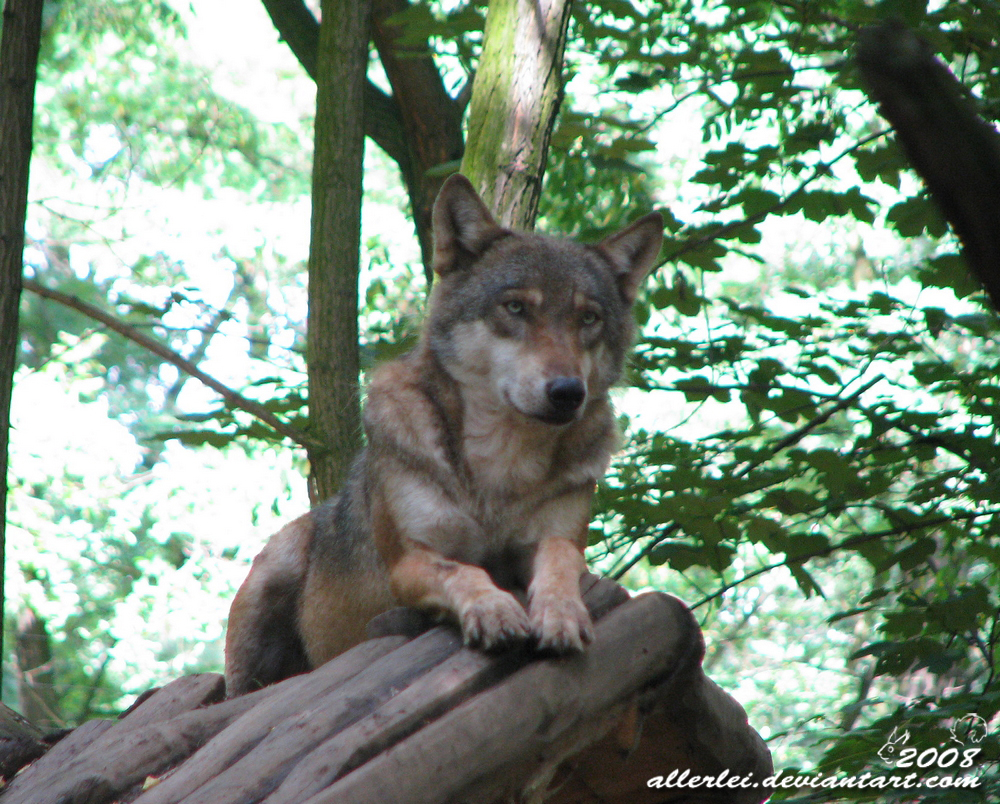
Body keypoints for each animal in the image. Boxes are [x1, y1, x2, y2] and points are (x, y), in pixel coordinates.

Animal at [224, 173, 663, 696]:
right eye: (516, 308)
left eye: (589, 319)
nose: (567, 392)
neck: (499, 467)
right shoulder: (409, 563)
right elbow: (463, 569)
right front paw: (493, 610)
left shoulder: (562, 541)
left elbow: (557, 560)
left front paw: (560, 614)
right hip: (275, 572)